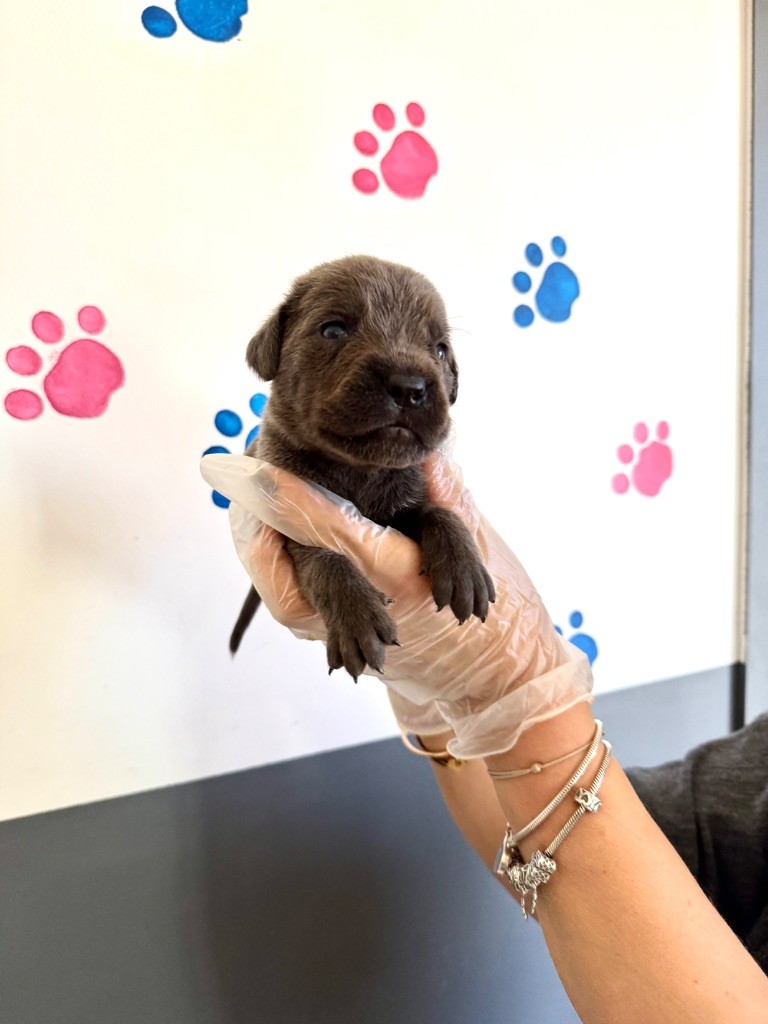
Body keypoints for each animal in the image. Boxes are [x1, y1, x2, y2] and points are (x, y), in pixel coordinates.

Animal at [228, 253, 495, 679]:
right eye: (334, 330)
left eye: (439, 350)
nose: (410, 386)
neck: (359, 470)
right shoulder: (291, 521)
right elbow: (325, 557)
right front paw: (356, 616)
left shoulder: (407, 498)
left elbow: (438, 512)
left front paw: (463, 567)